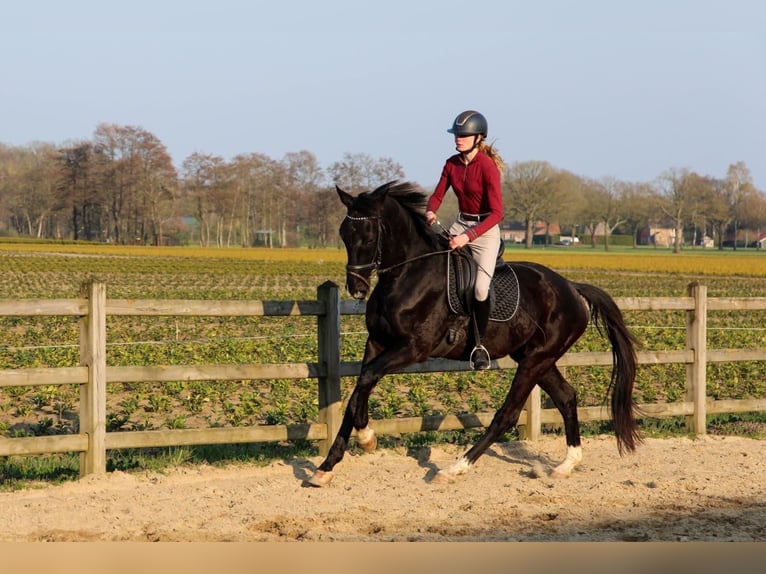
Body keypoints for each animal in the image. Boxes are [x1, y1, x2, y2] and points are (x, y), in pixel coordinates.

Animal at [306, 180, 641, 487]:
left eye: (369, 235)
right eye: (344, 234)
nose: (357, 288)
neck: (406, 275)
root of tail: (572, 288)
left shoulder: (413, 347)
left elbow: (366, 379)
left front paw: (366, 438)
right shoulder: (376, 343)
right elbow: (358, 391)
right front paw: (328, 465)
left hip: (536, 359)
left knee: (508, 413)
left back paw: (455, 468)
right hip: (536, 357)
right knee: (566, 397)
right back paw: (566, 464)